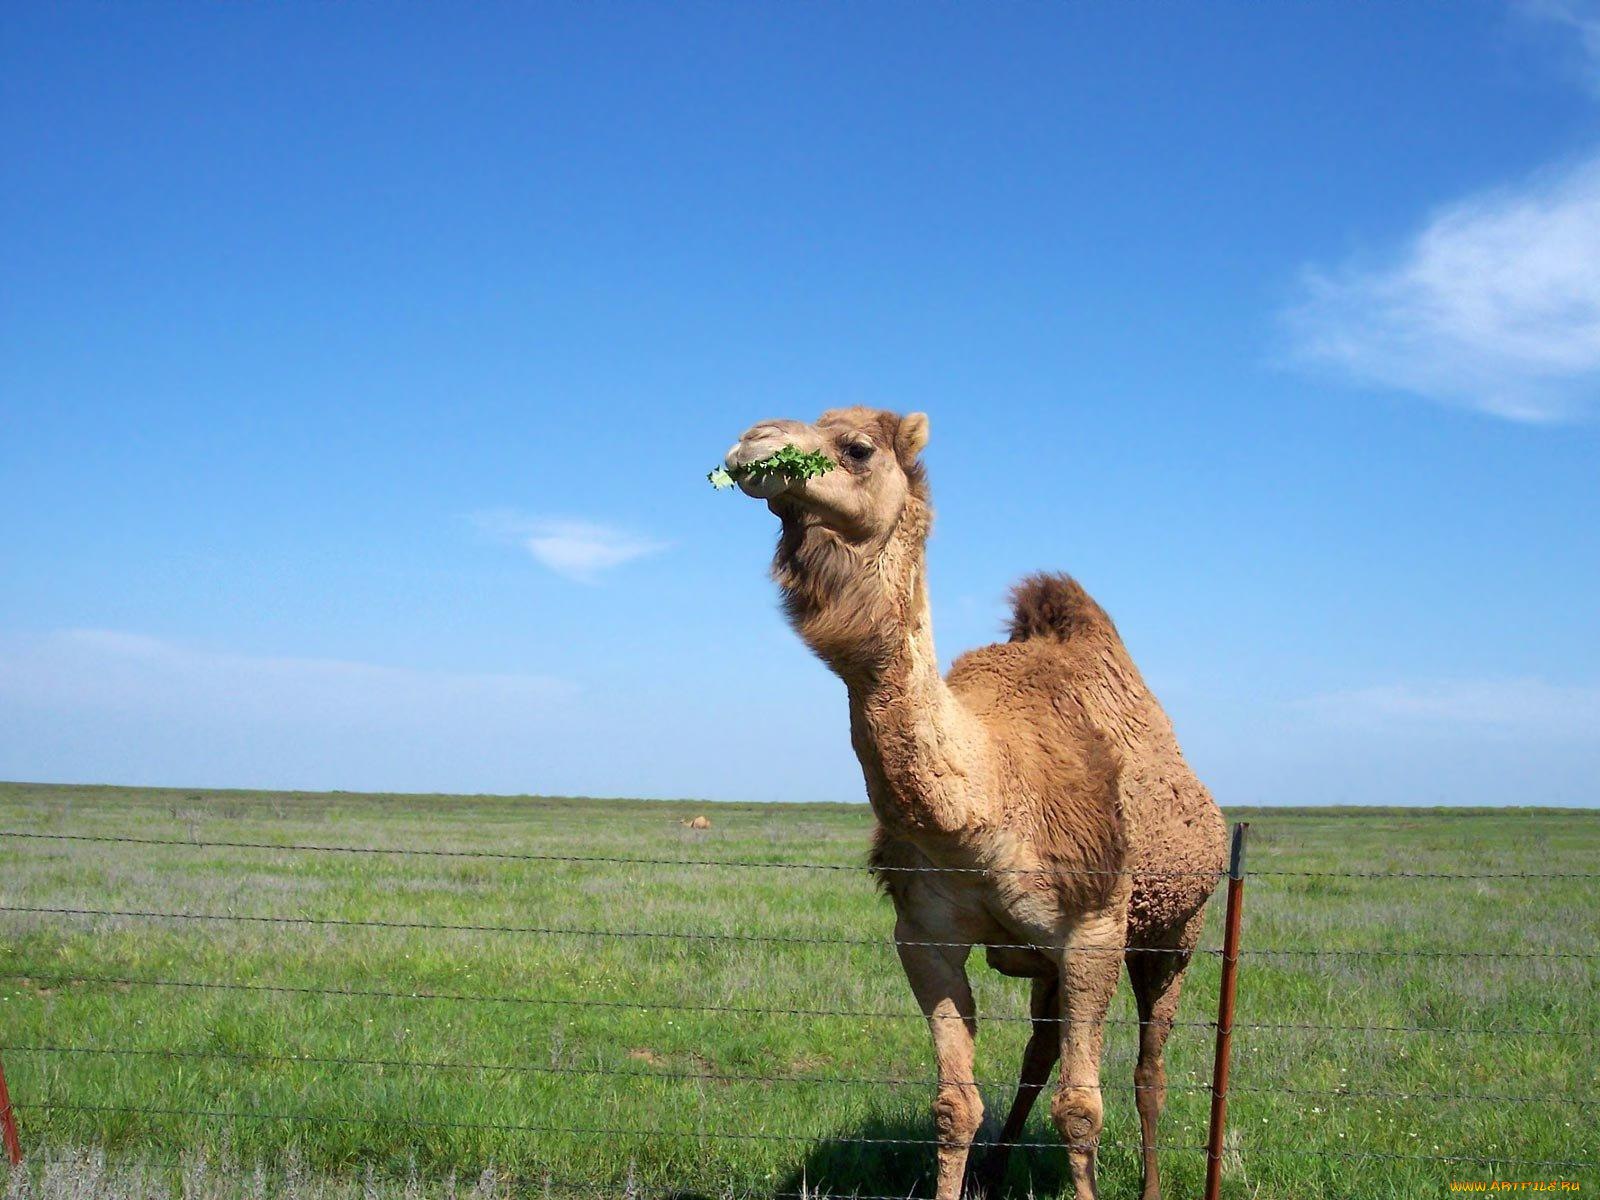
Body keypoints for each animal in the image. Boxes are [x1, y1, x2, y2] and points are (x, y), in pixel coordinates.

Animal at [726, 409, 1222, 1196]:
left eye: (857, 448)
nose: (753, 442)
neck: (986, 807)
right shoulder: (925, 936)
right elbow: (955, 1104)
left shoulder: (1093, 932)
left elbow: (1081, 1110)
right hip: (1052, 962)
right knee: (1037, 1057)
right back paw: (996, 1167)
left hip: (1176, 929)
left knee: (1150, 1069)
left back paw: (1148, 1182)